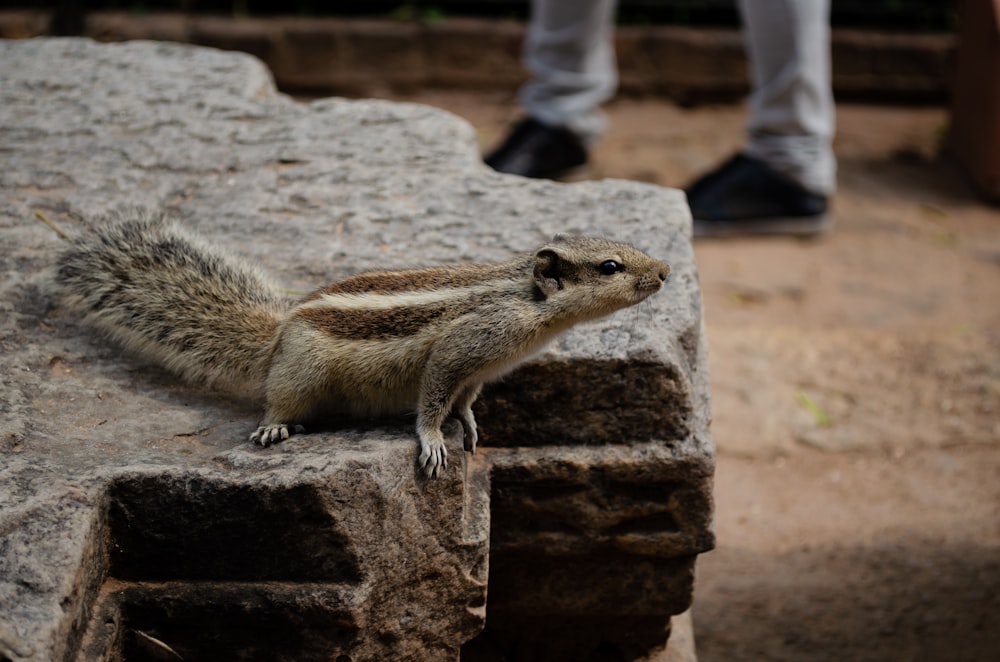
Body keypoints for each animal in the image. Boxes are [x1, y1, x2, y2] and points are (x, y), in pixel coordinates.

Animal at [50, 209, 668, 478]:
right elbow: (432, 396)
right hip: (300, 375)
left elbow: (464, 400)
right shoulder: (462, 347)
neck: (526, 302)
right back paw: (274, 427)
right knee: (276, 403)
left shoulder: (479, 370)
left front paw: (469, 426)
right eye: (611, 266)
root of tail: (277, 335)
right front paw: (433, 440)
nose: (665, 271)